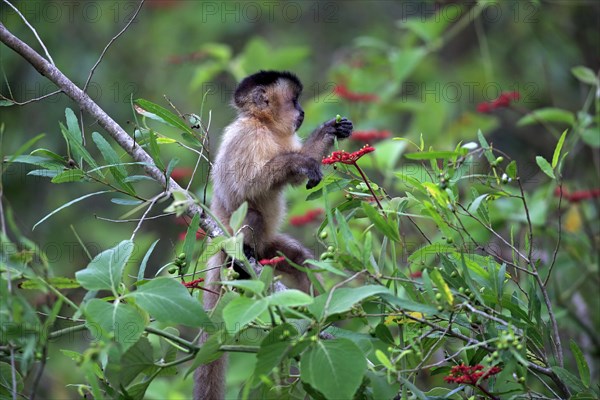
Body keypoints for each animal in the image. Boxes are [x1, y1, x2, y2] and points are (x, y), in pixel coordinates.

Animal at [193, 70, 352, 398]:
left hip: (270, 249)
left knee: (297, 259)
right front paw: (298, 162)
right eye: (294, 101)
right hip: (229, 238)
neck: (264, 126)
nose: (302, 112)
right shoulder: (246, 137)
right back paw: (243, 259)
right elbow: (247, 187)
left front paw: (330, 130)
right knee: (251, 212)